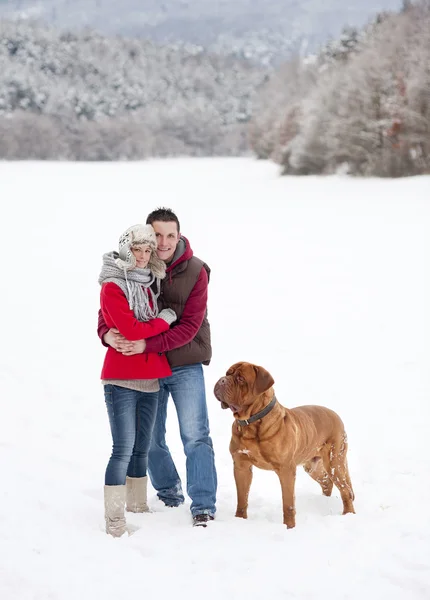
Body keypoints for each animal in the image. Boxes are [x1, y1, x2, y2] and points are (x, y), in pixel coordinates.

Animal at [213, 364, 354, 528]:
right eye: (227, 373)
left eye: (240, 378)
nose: (222, 380)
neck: (251, 422)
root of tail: (336, 415)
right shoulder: (241, 466)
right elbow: (242, 499)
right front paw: (239, 520)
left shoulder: (286, 470)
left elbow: (288, 504)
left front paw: (289, 527)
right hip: (312, 467)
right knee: (327, 482)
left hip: (334, 463)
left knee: (345, 490)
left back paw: (349, 514)